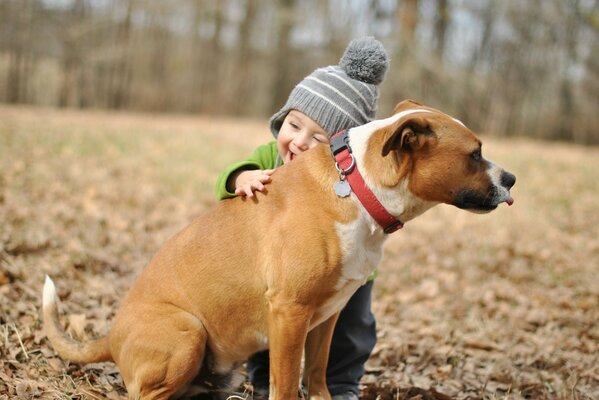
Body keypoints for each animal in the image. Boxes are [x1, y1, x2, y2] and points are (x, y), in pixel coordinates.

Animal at [44, 98, 516, 398]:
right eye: (475, 154)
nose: (511, 179)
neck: (356, 187)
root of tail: (111, 336)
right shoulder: (290, 313)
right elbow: (287, 384)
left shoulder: (328, 314)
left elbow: (319, 373)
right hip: (188, 332)